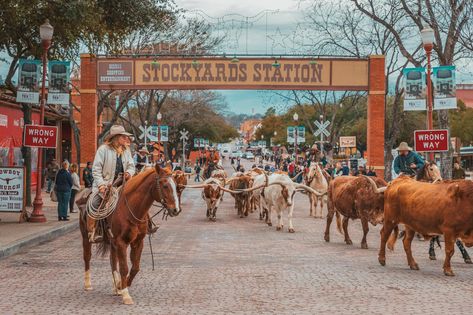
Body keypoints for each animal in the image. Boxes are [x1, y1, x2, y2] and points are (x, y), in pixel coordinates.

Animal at [80, 165, 180, 306]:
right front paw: (126, 294)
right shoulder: (121, 242)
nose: (176, 210)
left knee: (113, 261)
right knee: (87, 257)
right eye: (165, 185)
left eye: (176, 185)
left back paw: (116, 286)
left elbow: (135, 268)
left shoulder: (138, 241)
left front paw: (122, 285)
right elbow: (124, 267)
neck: (131, 208)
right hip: (86, 237)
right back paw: (88, 284)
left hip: (112, 242)